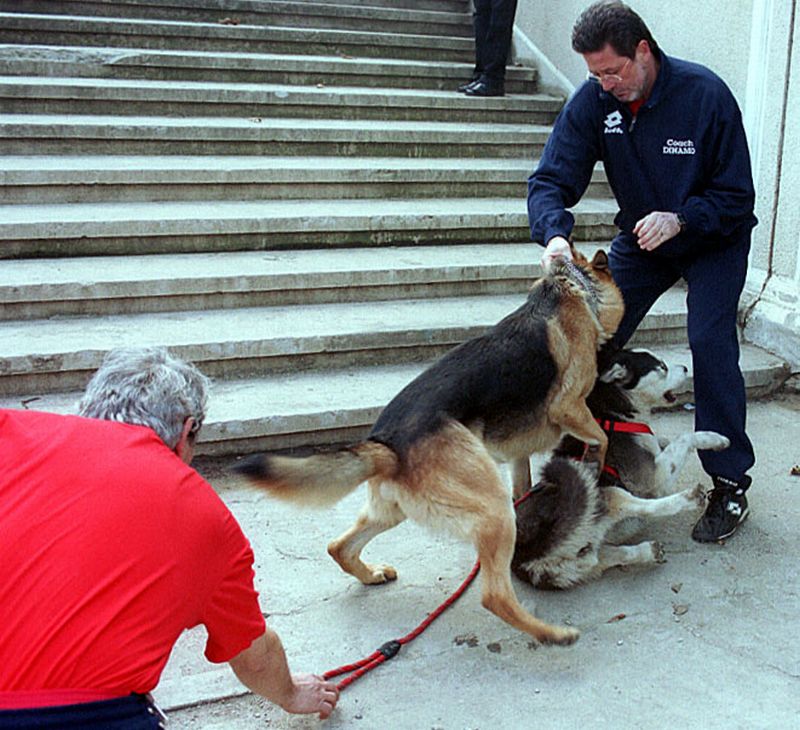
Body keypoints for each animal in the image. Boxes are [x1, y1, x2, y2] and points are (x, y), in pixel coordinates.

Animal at [238, 246, 624, 644]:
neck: (572, 285)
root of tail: (386, 444)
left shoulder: (521, 452)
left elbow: (525, 481)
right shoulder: (570, 407)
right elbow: (602, 435)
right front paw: (597, 462)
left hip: (393, 510)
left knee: (339, 547)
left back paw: (371, 574)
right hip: (493, 508)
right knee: (494, 596)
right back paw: (553, 634)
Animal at [512, 346, 732, 584]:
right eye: (662, 367)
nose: (685, 367)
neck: (615, 414)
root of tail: (528, 554)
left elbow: (665, 442)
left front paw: (663, 440)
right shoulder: (654, 477)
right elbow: (683, 438)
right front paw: (715, 439)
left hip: (582, 564)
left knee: (605, 558)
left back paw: (648, 551)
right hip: (609, 494)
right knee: (649, 507)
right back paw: (690, 498)